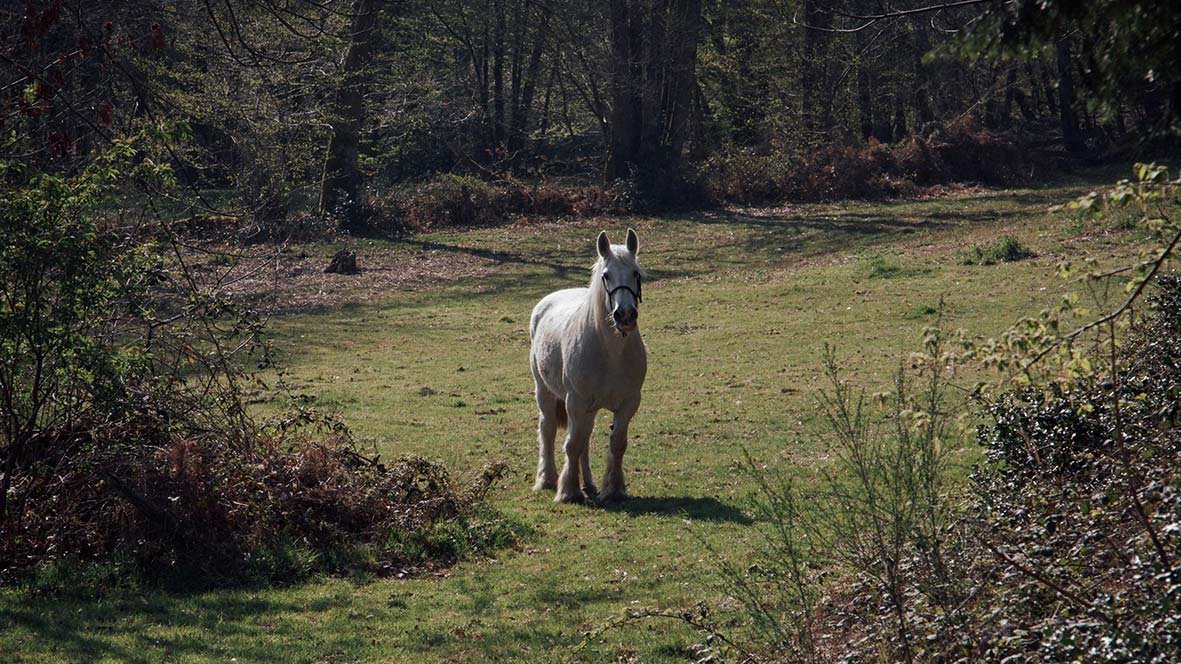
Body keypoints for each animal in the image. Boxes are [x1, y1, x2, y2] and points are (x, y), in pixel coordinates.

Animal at [533, 229, 651, 500]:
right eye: (606, 275)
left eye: (636, 273)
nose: (625, 315)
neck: (611, 353)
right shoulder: (575, 402)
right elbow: (572, 445)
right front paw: (568, 490)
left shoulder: (628, 403)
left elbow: (617, 444)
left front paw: (613, 489)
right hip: (545, 392)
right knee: (548, 430)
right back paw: (547, 479)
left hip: (589, 409)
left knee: (585, 439)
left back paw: (588, 484)